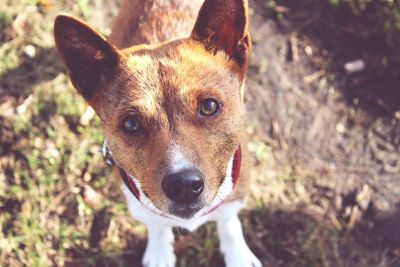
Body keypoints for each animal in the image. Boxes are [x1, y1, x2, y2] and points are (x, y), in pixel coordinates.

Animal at [53, 0, 260, 267]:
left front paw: (237, 254)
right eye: (131, 123)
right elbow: (157, 225)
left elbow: (228, 220)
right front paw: (160, 251)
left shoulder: (236, 192)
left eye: (209, 106)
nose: (183, 186)